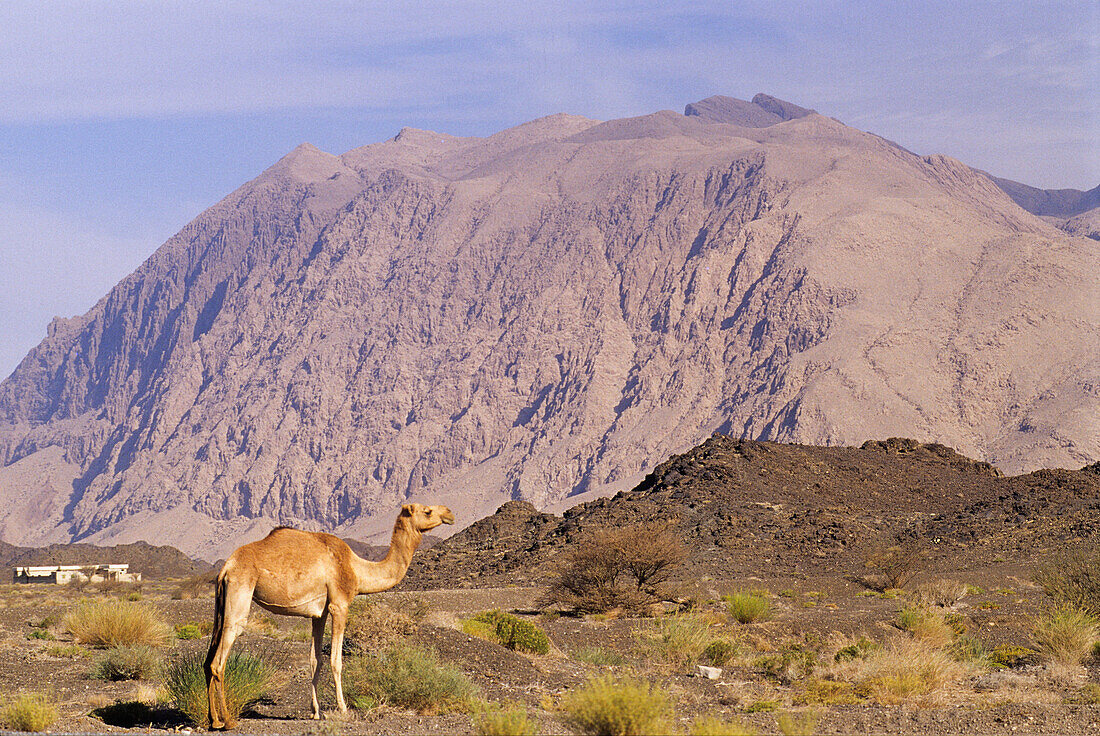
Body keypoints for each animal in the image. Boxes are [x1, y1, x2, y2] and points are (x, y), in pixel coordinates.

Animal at [204, 501, 453, 726]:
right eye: (427, 511)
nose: (449, 513)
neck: (357, 569)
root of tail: (226, 567)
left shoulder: (319, 614)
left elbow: (316, 660)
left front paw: (316, 712)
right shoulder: (339, 604)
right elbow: (336, 660)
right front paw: (343, 708)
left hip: (222, 604)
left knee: (208, 661)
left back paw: (213, 719)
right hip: (240, 592)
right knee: (220, 660)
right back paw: (227, 721)